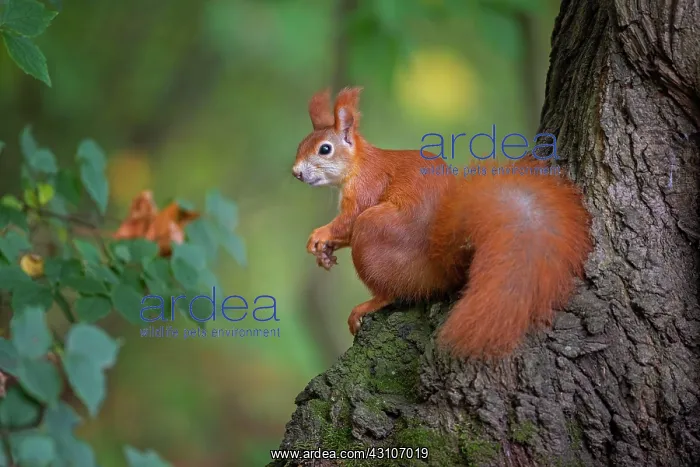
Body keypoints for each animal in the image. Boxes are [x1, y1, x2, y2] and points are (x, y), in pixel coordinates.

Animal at [291, 87, 593, 358]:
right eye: (300, 145)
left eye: (325, 149)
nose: (296, 173)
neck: (360, 164)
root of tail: (442, 268)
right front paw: (325, 253)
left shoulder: (368, 188)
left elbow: (349, 221)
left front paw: (320, 235)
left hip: (373, 230)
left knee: (390, 292)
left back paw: (367, 305)